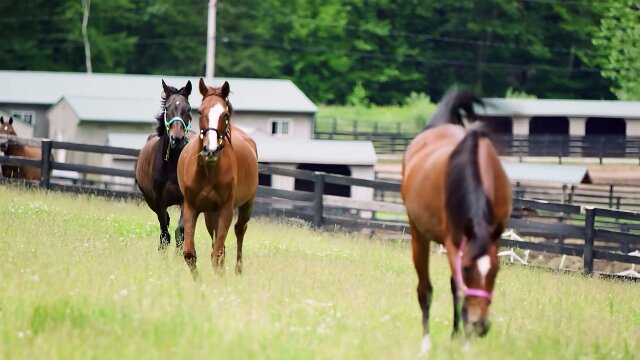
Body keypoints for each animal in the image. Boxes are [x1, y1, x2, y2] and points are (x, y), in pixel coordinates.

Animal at [135, 80, 192, 250]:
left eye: (188, 109)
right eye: (167, 108)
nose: (177, 139)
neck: (171, 164)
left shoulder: (185, 201)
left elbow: (180, 230)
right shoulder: (159, 201)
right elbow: (164, 230)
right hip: (150, 200)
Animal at [176, 78, 258, 276]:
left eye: (225, 114)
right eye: (200, 111)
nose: (210, 150)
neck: (208, 172)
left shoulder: (225, 210)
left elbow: (217, 253)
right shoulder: (191, 208)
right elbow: (190, 253)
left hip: (247, 204)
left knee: (239, 230)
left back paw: (238, 270)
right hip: (209, 214)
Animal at [402, 88, 512, 352]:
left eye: (496, 270)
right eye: (468, 268)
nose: (480, 325)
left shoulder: (491, 239)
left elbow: (459, 288)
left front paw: (464, 341)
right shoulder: (454, 243)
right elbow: (461, 289)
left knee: (453, 287)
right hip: (418, 235)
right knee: (425, 289)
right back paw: (426, 343)